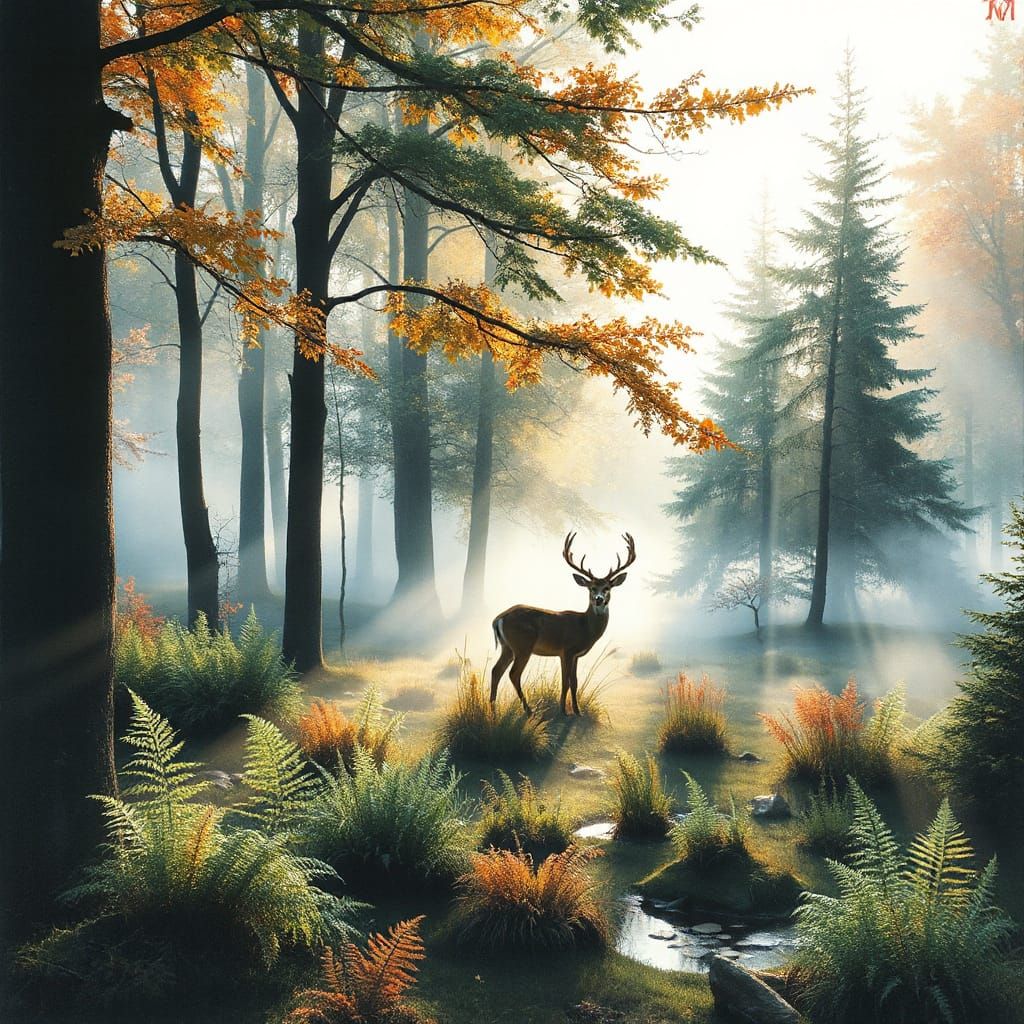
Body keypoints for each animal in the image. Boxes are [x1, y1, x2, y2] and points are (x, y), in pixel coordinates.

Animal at [490, 532, 636, 716]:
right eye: (591, 588)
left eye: (607, 588)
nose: (598, 599)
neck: (585, 627)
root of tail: (498, 619)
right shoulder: (567, 650)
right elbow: (566, 681)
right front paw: (563, 711)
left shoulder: (574, 655)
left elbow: (574, 682)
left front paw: (577, 711)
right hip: (522, 646)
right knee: (513, 673)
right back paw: (529, 710)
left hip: (507, 647)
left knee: (496, 670)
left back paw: (492, 709)